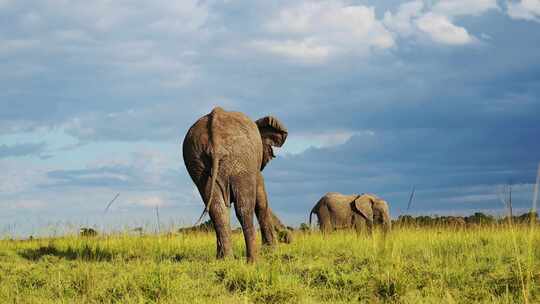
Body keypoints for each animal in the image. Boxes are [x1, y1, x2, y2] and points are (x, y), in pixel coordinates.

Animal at [182, 106, 286, 262]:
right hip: (241, 159)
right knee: (244, 208)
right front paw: (272, 252)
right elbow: (261, 202)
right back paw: (253, 261)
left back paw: (226, 260)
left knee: (217, 210)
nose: (288, 238)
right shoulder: (254, 168)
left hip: (196, 160)